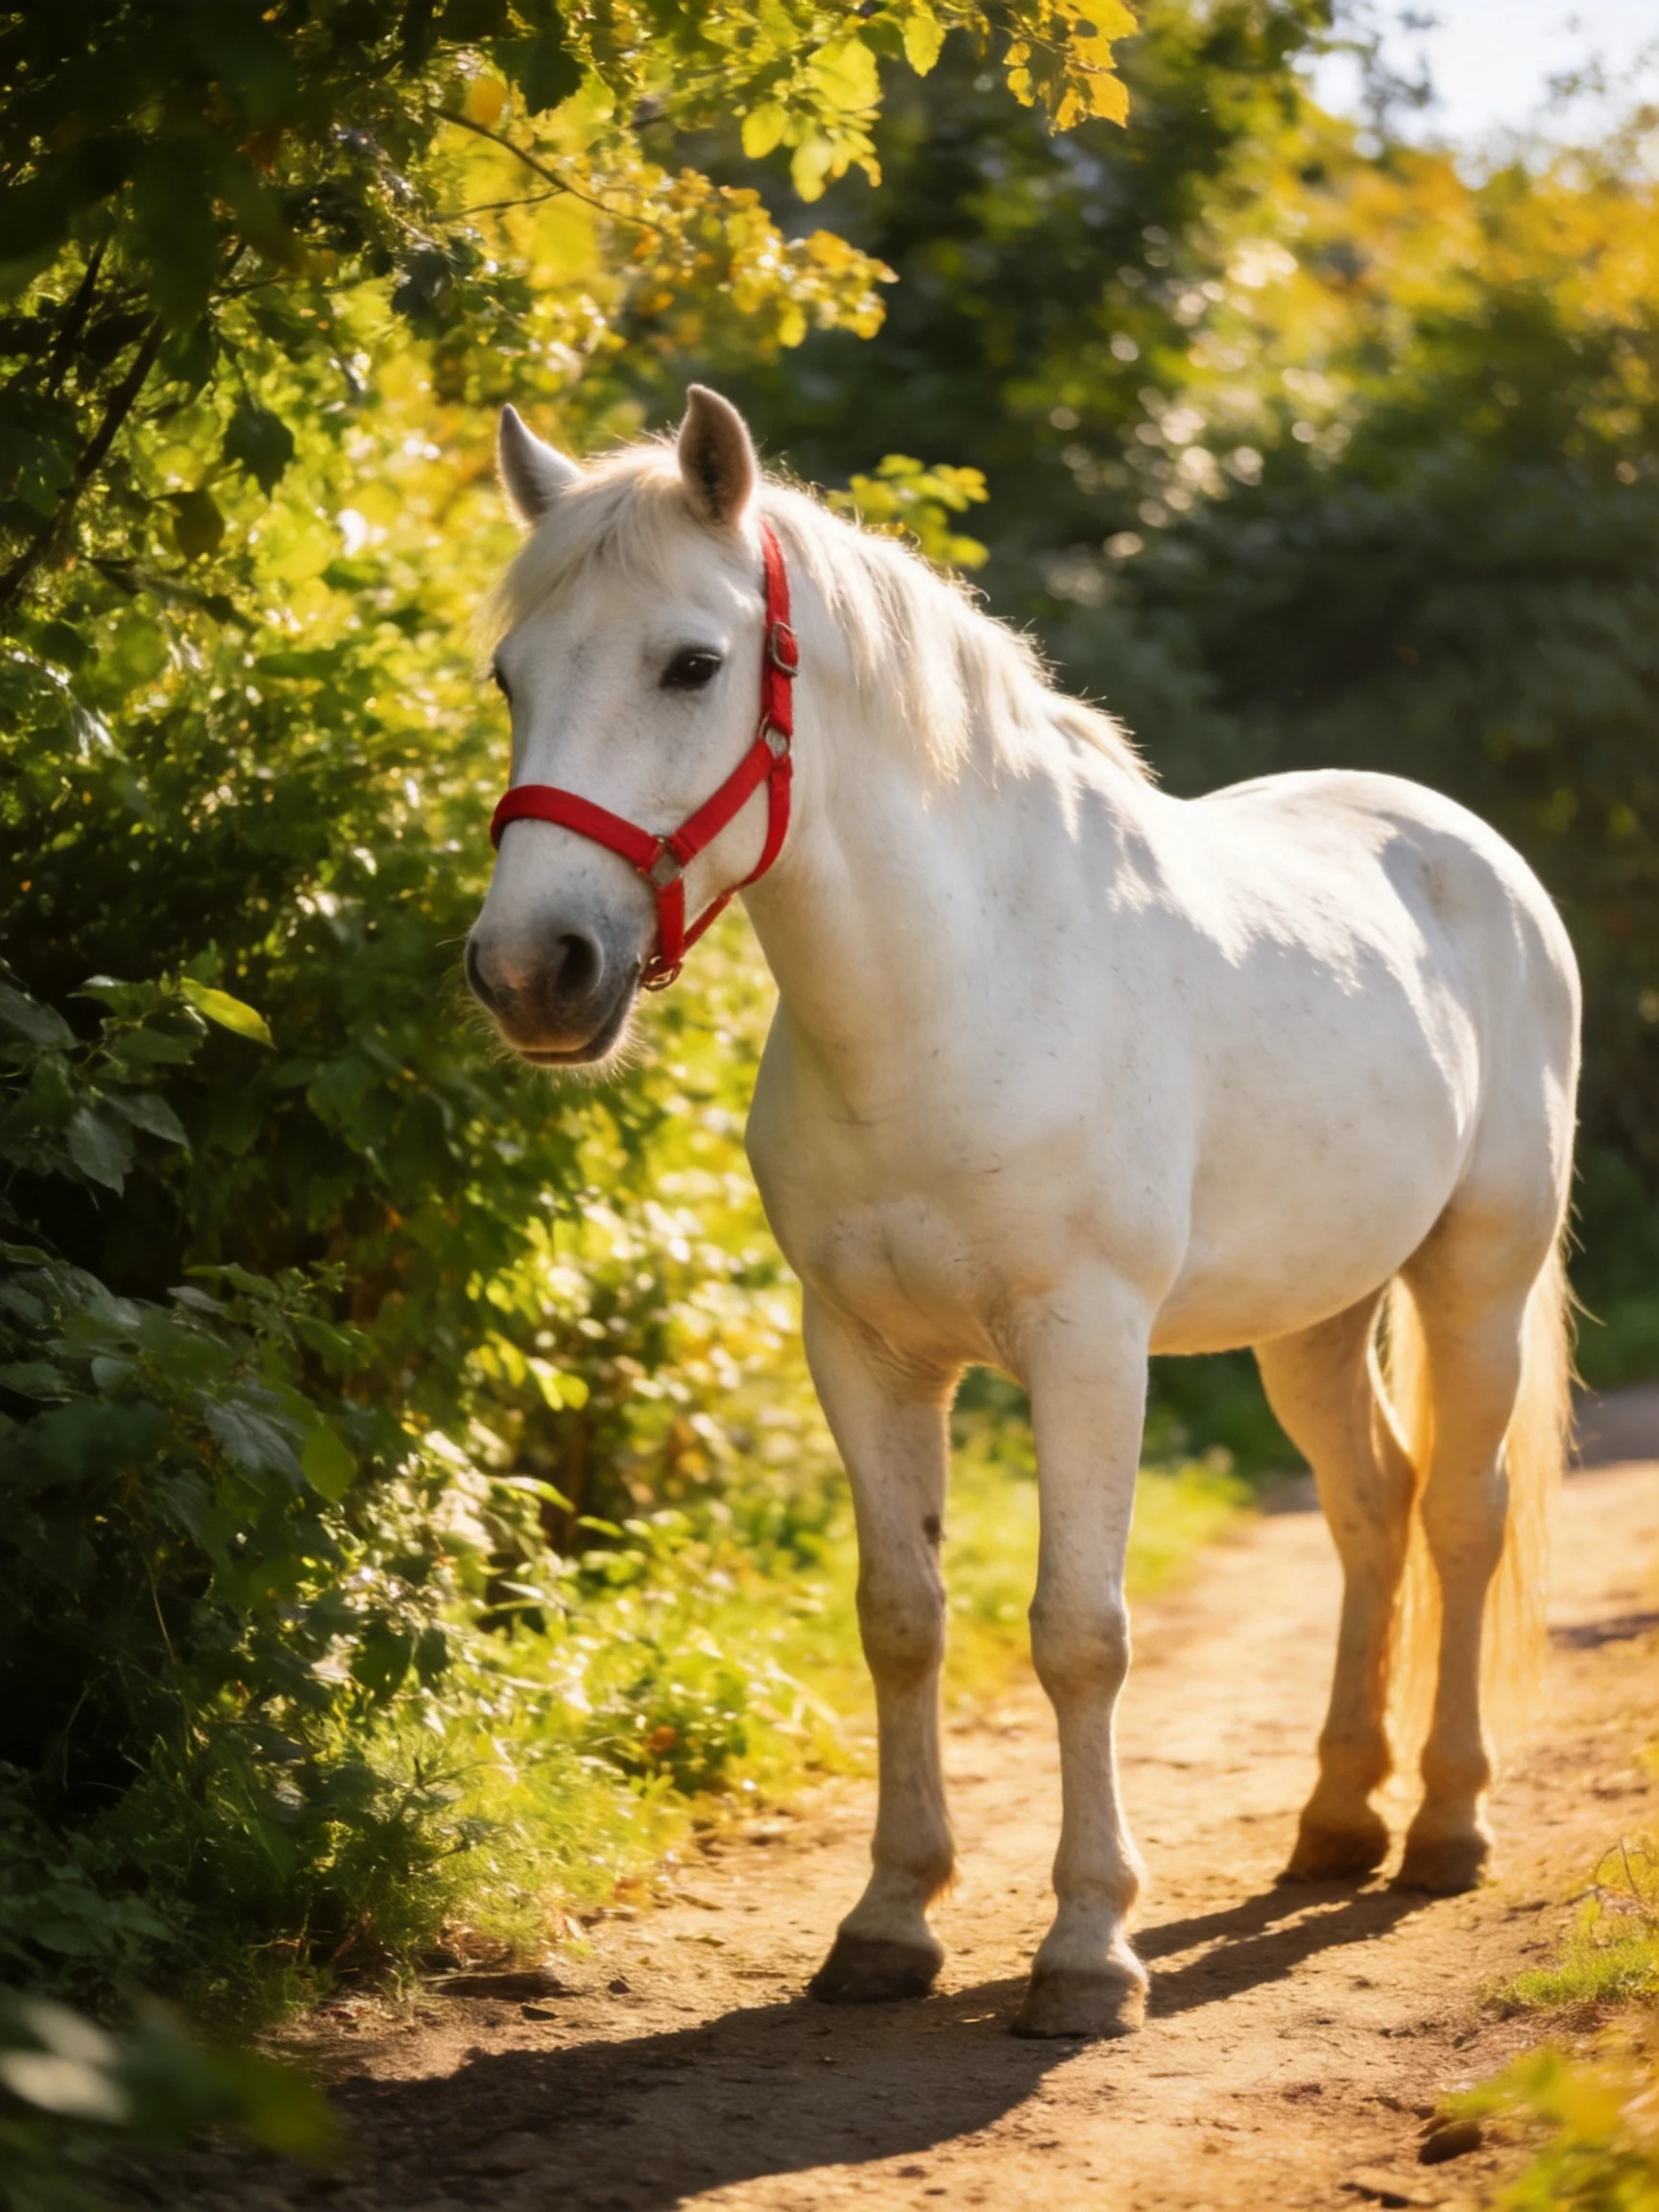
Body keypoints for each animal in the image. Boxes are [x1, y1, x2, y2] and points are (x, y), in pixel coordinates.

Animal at [464, 385, 1579, 2039]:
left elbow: (1080, 1633)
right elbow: (902, 1617)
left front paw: (1087, 1948)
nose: (534, 971)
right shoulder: (863, 1353)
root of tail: (1467, 846)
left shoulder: (1086, 1346)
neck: (953, 993)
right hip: (1315, 1316)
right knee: (1370, 1508)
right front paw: (887, 1923)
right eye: (509, 673)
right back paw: (1335, 1820)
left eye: (692, 663)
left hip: (1476, 1281)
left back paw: (1444, 1826)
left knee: (1458, 1512)